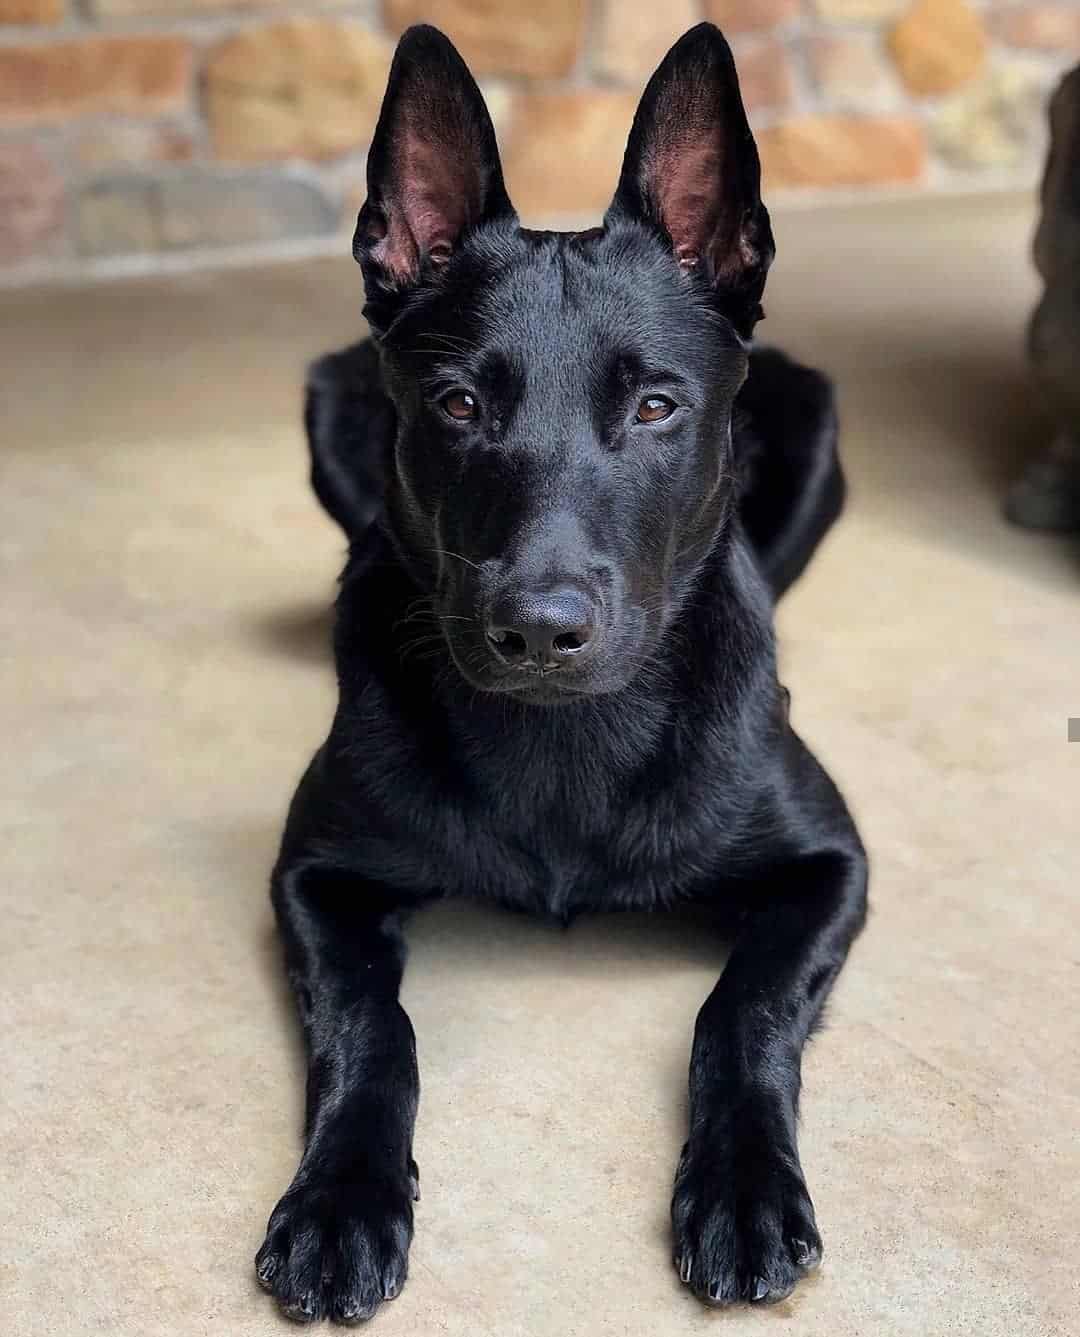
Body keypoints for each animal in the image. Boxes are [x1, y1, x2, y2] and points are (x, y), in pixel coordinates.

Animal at [259, 23, 871, 1326]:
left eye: (655, 406)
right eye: (456, 402)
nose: (539, 629)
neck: (564, 747)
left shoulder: (831, 863)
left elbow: (741, 1004)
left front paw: (744, 1187)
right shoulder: (313, 874)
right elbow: (371, 1025)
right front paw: (339, 1200)